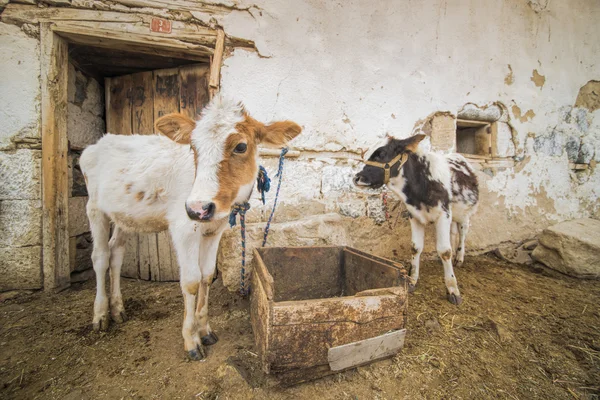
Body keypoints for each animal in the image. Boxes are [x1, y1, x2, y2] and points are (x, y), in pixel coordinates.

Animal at [79, 97, 302, 360]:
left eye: (240, 147)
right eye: (193, 148)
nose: (199, 208)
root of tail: (100, 142)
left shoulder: (215, 229)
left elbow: (207, 275)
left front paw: (205, 330)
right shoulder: (184, 227)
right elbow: (192, 281)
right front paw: (191, 340)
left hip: (125, 215)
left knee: (116, 252)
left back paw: (117, 308)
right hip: (94, 207)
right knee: (101, 256)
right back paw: (101, 314)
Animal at [356, 134, 478, 304]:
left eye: (381, 153)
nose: (357, 177)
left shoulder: (444, 214)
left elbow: (445, 251)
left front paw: (452, 289)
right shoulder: (414, 215)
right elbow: (416, 247)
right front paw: (412, 280)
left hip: (465, 212)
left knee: (463, 231)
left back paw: (459, 257)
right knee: (454, 232)